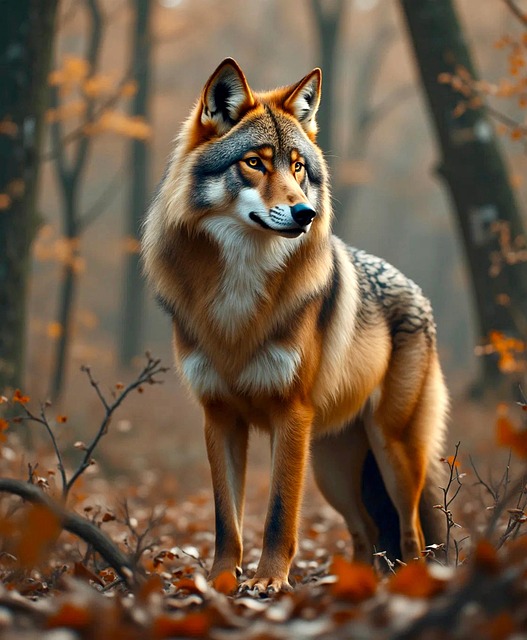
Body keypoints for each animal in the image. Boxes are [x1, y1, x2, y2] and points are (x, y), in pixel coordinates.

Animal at [142, 58, 449, 593]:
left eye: (298, 167)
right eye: (255, 162)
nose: (306, 213)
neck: (239, 296)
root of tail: (418, 291)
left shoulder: (291, 414)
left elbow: (279, 514)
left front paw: (267, 582)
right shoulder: (219, 416)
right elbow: (226, 519)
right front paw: (221, 582)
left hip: (391, 453)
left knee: (409, 531)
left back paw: (403, 585)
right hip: (333, 470)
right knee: (368, 533)